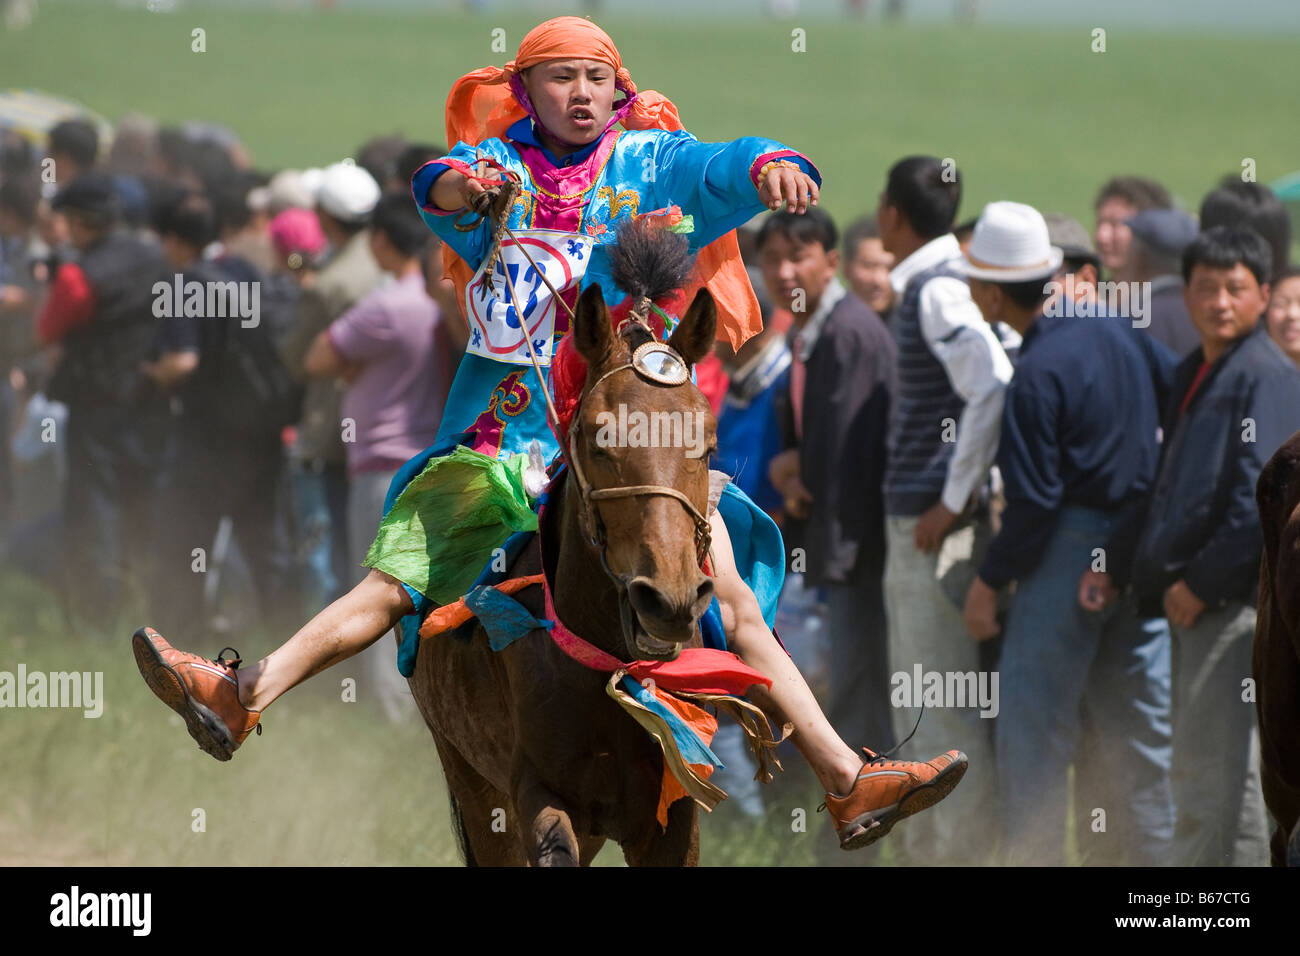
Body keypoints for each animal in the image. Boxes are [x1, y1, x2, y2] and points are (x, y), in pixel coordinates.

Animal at [405, 230, 728, 868]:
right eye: (600, 440)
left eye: (706, 442)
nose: (669, 600)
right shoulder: (534, 792)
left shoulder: (675, 806)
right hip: (469, 778)